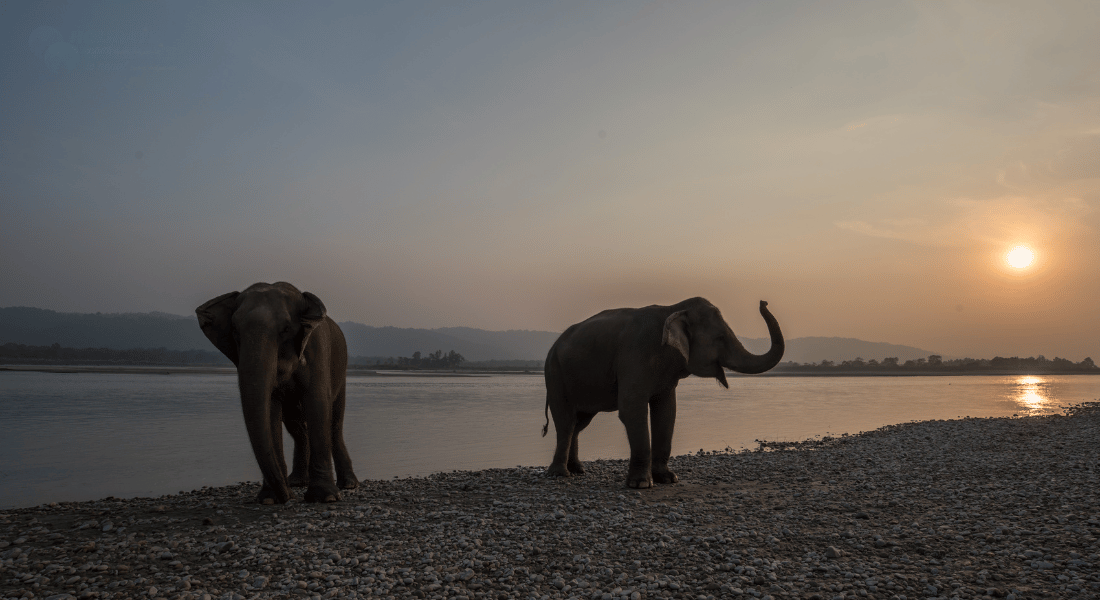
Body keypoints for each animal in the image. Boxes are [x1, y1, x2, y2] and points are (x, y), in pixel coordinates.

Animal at [193, 280, 356, 499]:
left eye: (286, 329)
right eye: (234, 330)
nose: (286, 496)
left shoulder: (318, 350)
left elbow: (318, 402)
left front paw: (325, 497)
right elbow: (270, 408)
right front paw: (270, 498)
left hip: (341, 370)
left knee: (335, 424)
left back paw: (348, 485)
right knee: (295, 425)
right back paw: (296, 482)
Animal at [541, 297, 783, 488]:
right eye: (720, 339)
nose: (763, 302)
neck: (673, 308)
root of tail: (553, 346)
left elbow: (667, 411)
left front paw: (668, 479)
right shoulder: (634, 356)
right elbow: (632, 409)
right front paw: (641, 484)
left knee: (579, 422)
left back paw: (578, 470)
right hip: (554, 374)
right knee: (566, 421)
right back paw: (560, 474)